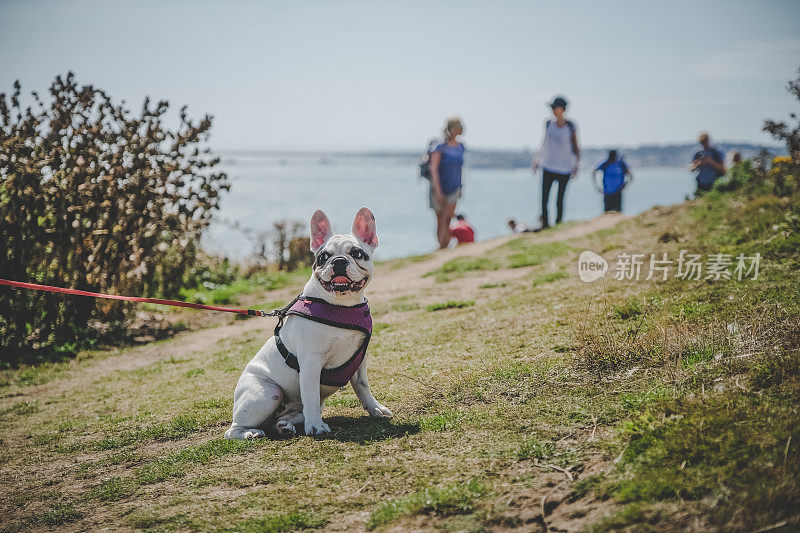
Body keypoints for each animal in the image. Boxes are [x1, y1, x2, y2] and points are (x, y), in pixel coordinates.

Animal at [223, 206, 392, 438]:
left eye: (357, 253)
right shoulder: (311, 363)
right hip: (266, 393)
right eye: (323, 257)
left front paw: (375, 409)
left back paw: (284, 425)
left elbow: (362, 385)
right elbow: (311, 394)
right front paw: (316, 427)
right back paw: (250, 433)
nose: (339, 261)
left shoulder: (360, 361)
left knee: (286, 417)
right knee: (233, 430)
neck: (341, 307)